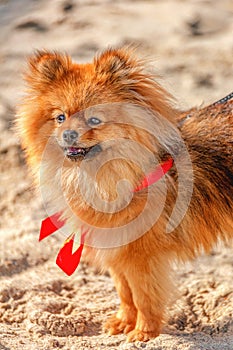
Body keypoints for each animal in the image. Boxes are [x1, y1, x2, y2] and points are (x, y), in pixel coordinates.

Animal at [15, 47, 232, 340]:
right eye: (60, 117)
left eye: (94, 119)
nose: (69, 133)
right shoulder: (116, 248)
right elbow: (125, 293)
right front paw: (123, 323)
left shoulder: (141, 256)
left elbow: (143, 297)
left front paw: (143, 332)